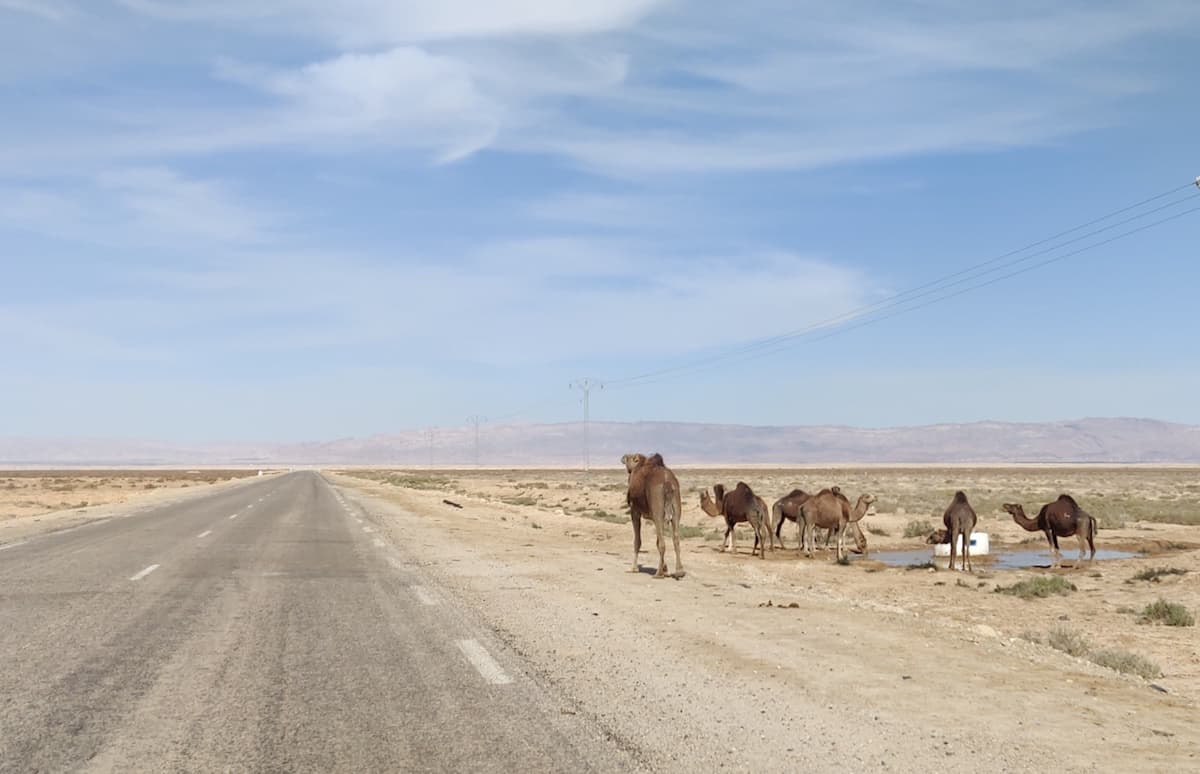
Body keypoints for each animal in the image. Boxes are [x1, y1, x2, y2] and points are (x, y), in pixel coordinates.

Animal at [619, 448, 686, 576]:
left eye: (629, 458)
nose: (623, 457)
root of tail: (667, 482)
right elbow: (657, 540)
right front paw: (665, 568)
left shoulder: (635, 510)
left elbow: (637, 541)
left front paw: (633, 568)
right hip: (676, 506)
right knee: (675, 538)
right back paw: (679, 571)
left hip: (657, 508)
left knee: (662, 543)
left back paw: (658, 573)